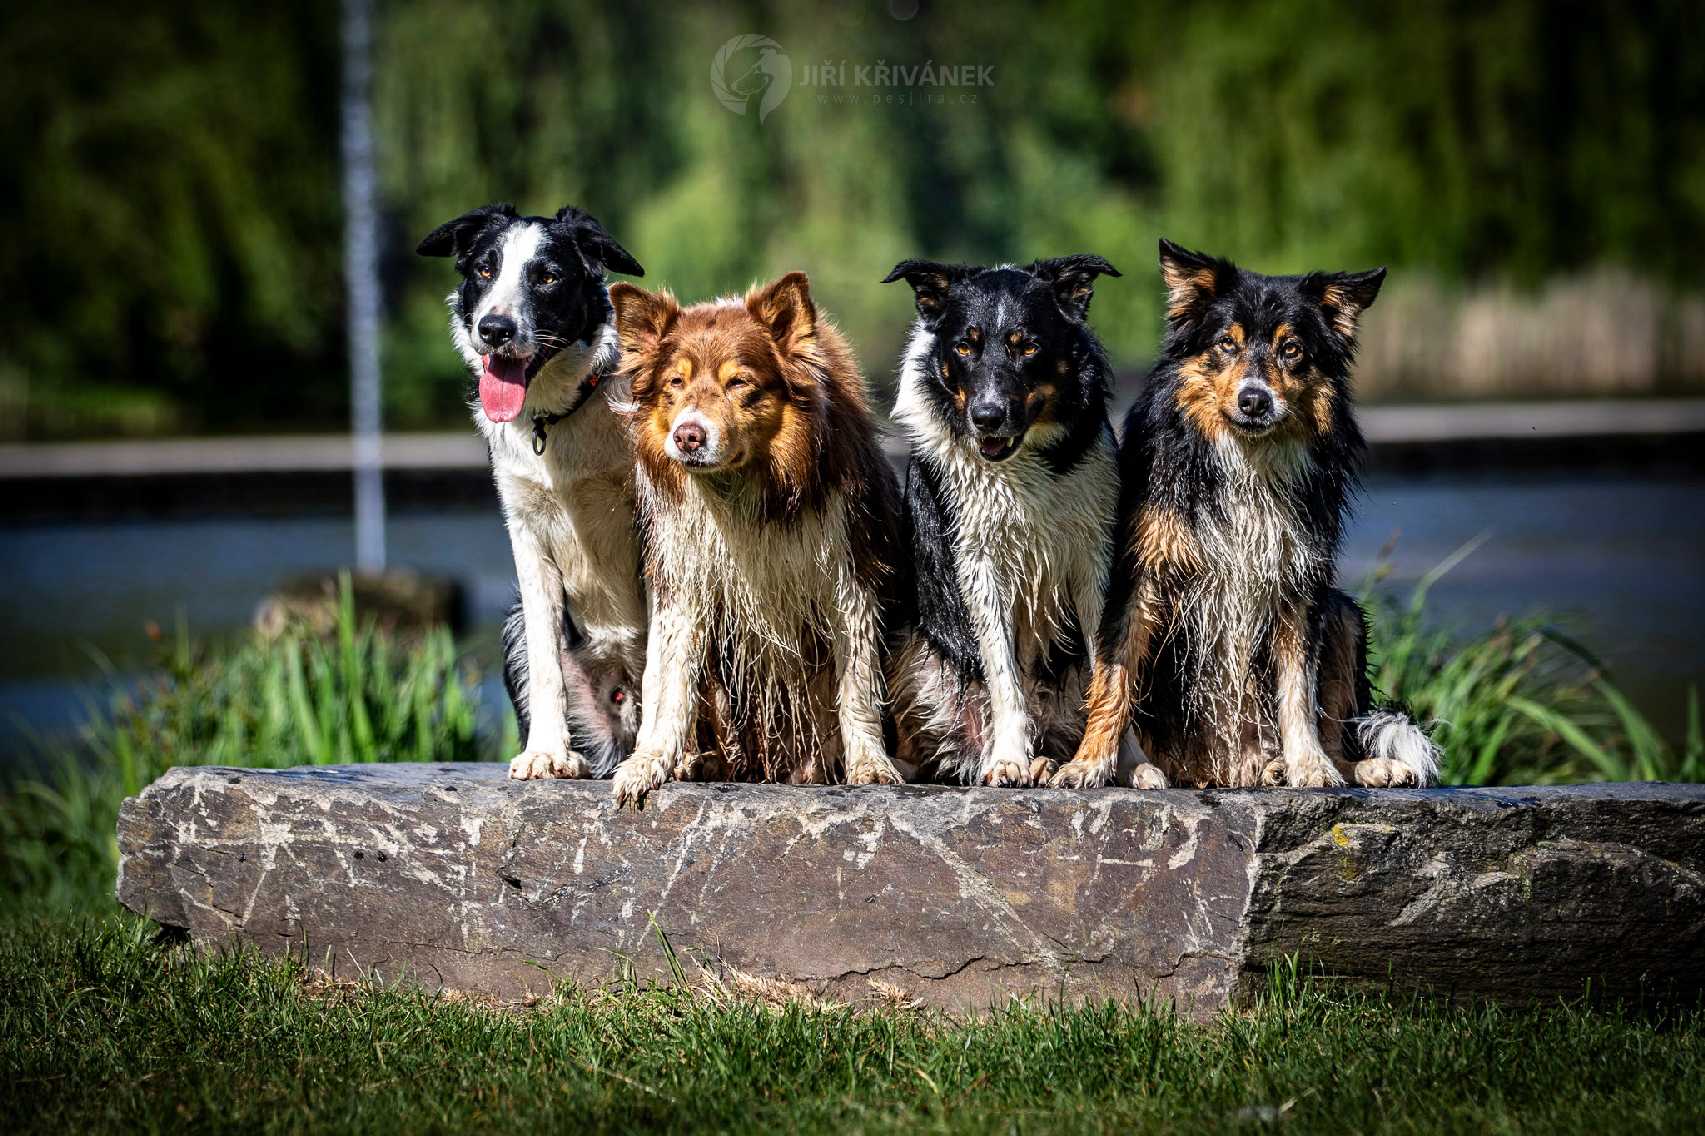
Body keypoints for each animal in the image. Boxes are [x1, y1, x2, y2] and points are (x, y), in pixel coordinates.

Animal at [419, 203, 644, 777]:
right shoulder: (527, 536)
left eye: (547, 277)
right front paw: (546, 752)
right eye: (484, 269)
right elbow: (546, 664)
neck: (558, 417)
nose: (494, 329)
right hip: (516, 624)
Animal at [606, 269, 913, 801]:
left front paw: (870, 765)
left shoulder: (850, 576)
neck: (743, 488)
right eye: (675, 383)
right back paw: (699, 762)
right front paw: (648, 763)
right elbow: (668, 684)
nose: (688, 435)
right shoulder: (683, 578)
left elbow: (856, 686)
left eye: (738, 383)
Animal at [886, 257, 1166, 788]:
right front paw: (1009, 758)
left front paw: (1123, 762)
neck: (1021, 465)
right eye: (965, 346)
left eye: (1029, 346)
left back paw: (1048, 762)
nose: (987, 416)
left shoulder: (1094, 558)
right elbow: (1004, 674)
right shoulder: (977, 561)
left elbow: (1109, 670)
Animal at [1050, 238, 1439, 788]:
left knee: (1334, 724)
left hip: (1342, 613)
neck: (1247, 460)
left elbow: (1299, 691)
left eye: (1291, 349)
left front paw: (1310, 767)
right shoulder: (1140, 577)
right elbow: (1114, 679)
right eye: (1226, 344)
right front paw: (1088, 764)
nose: (1255, 399)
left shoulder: (1299, 583)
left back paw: (1350, 766)